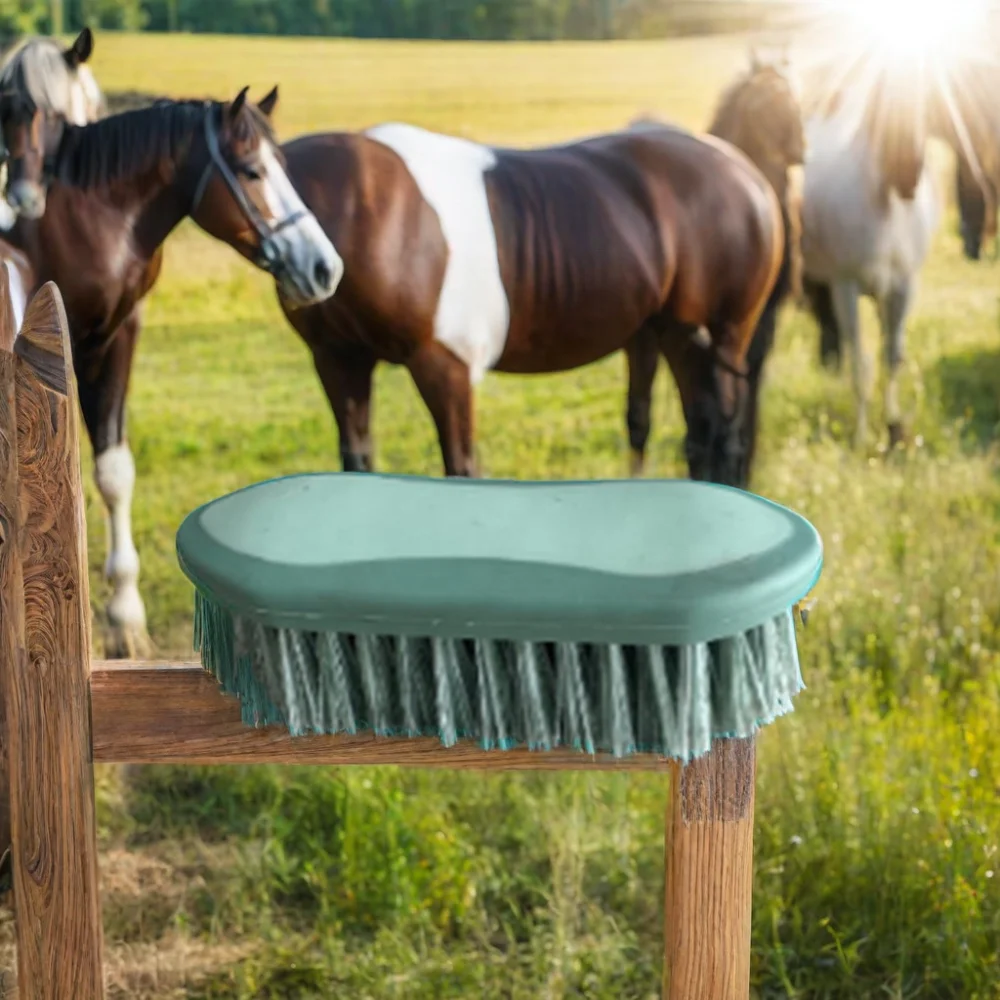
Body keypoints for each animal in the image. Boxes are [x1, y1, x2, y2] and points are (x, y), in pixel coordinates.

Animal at [0, 84, 343, 658]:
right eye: (251, 171)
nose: (325, 268)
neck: (84, 212)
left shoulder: (115, 338)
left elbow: (114, 472)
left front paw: (125, 619)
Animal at [623, 50, 805, 485]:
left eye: (798, 96)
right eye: (762, 102)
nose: (799, 149)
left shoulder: (758, 328)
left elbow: (744, 400)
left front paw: (741, 469)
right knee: (640, 416)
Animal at [798, 61, 940, 450]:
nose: (908, 175)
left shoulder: (903, 287)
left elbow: (892, 357)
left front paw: (892, 426)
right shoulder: (845, 286)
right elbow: (861, 365)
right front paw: (861, 438)